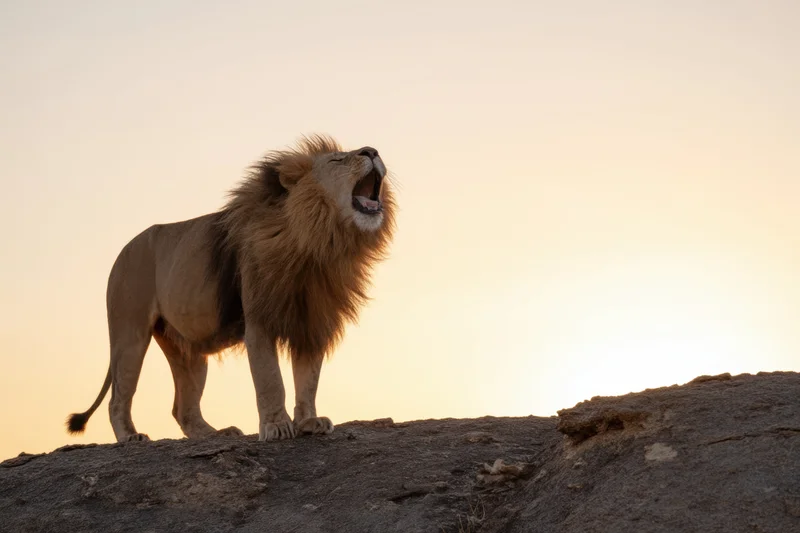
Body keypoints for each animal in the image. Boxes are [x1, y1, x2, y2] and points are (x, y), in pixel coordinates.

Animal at [65, 135, 395, 443]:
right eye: (338, 160)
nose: (372, 151)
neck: (319, 239)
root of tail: (124, 249)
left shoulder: (310, 320)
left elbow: (308, 380)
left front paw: (308, 422)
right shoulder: (259, 321)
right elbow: (270, 379)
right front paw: (276, 426)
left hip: (187, 348)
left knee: (183, 408)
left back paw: (216, 434)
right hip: (129, 331)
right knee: (118, 397)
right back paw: (130, 437)